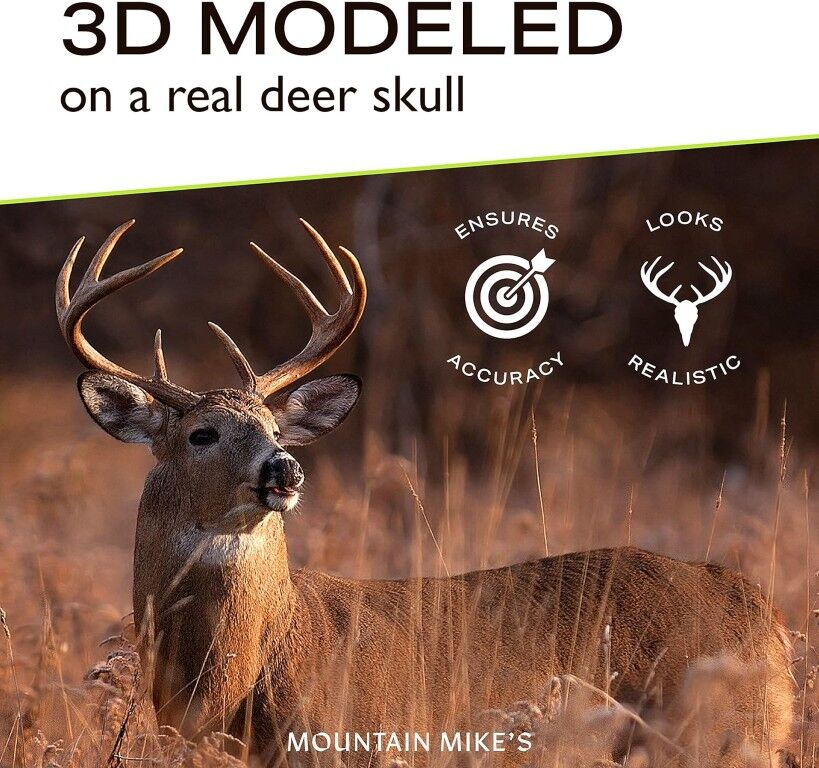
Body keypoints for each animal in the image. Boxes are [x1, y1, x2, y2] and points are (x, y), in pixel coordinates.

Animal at [57, 220, 792, 766]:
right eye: (202, 434)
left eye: (272, 427)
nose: (284, 470)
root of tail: (761, 611)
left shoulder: (360, 742)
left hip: (713, 737)